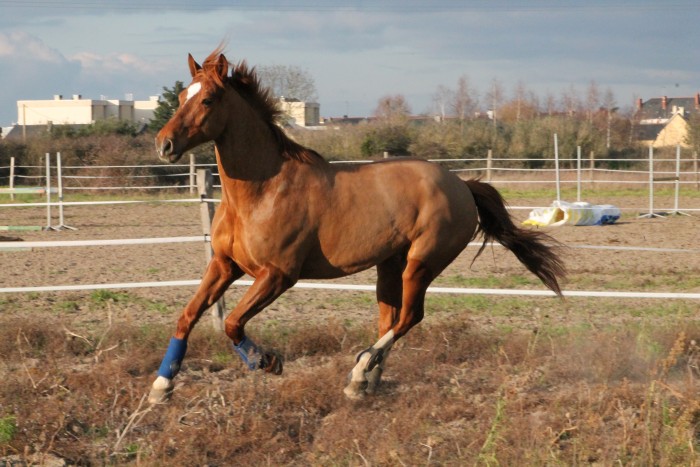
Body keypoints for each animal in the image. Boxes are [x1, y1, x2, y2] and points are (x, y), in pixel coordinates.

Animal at [148, 47, 564, 404]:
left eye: (207, 100)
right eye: (182, 95)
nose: (163, 144)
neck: (261, 192)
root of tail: (462, 184)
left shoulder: (279, 274)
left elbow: (233, 322)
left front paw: (267, 361)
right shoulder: (224, 265)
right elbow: (187, 316)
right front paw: (161, 387)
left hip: (422, 263)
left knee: (409, 317)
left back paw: (361, 372)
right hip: (390, 266)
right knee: (390, 319)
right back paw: (366, 381)